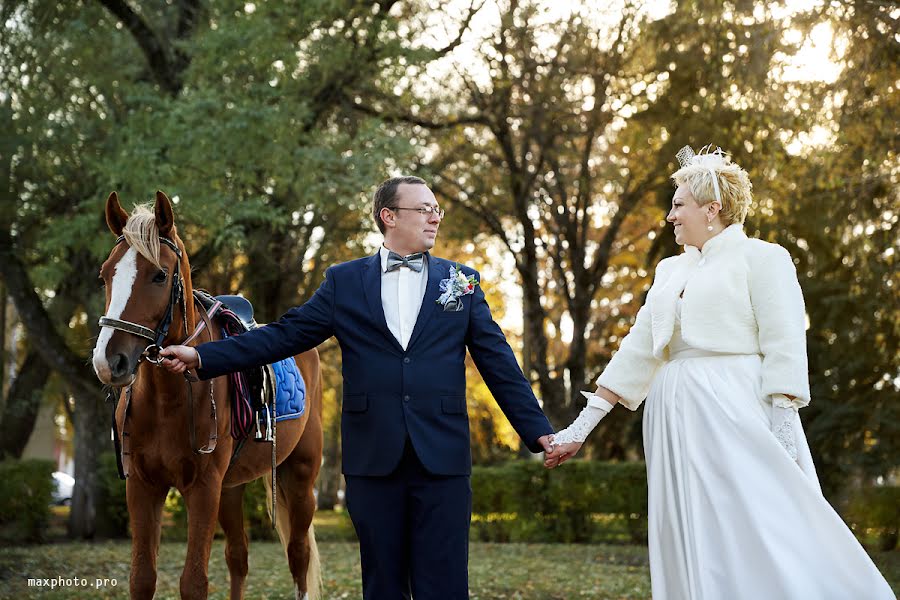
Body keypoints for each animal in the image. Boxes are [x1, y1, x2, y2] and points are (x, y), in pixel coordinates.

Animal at [90, 193, 324, 600]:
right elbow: (142, 578)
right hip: (232, 487)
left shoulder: (203, 488)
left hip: (299, 478)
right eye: (105, 275)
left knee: (298, 557)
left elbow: (194, 582)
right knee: (238, 557)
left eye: (159, 275)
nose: (109, 361)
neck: (167, 400)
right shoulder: (143, 486)